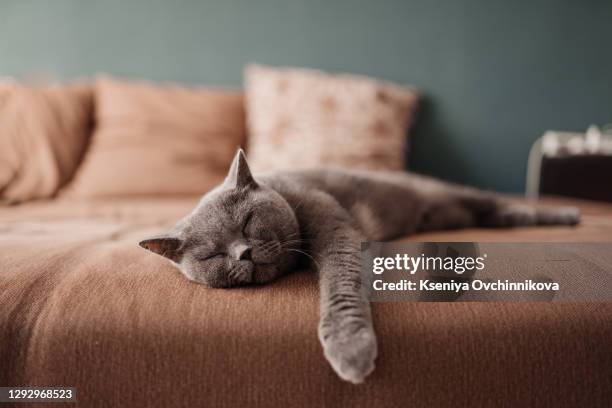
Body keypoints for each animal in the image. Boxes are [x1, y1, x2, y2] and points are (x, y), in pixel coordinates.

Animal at [139, 149, 580, 382]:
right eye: (213, 255)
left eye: (247, 222)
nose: (243, 253)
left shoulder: (337, 231)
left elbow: (340, 283)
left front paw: (349, 349)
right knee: (499, 215)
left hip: (455, 195)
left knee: (502, 204)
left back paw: (568, 215)